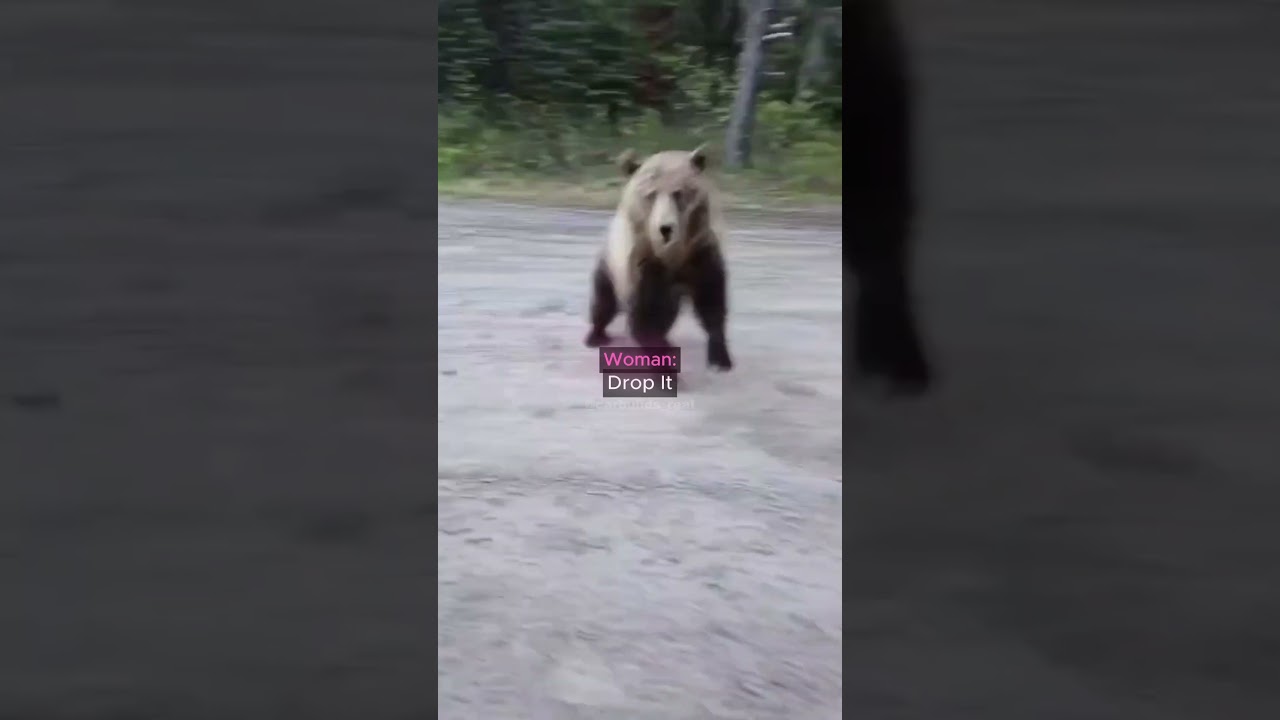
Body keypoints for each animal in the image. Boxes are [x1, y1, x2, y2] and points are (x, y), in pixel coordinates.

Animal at [584, 145, 733, 371]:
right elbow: (646, 317)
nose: (665, 229)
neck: (673, 255)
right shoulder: (645, 261)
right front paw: (666, 365)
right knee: (603, 302)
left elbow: (711, 300)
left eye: (678, 193)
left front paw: (720, 358)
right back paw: (596, 336)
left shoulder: (700, 252)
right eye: (650, 195)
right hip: (610, 263)